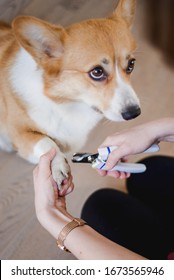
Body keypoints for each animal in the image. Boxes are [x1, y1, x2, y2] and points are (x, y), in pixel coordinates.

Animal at [0, 0, 139, 188]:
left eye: (131, 64)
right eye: (97, 72)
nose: (135, 113)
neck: (66, 103)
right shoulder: (19, 133)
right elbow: (45, 142)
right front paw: (57, 165)